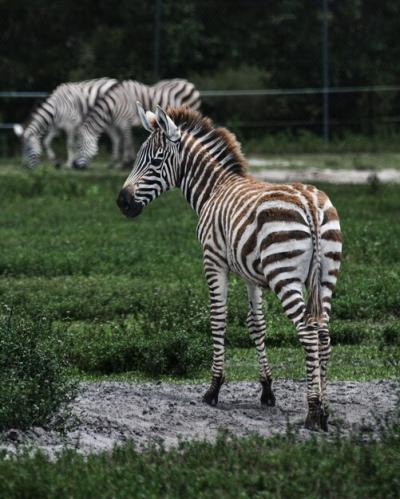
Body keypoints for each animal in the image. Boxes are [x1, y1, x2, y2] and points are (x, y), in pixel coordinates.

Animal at [72, 79, 200, 170]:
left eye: (79, 146)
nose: (75, 166)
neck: (113, 105)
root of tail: (188, 83)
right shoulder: (114, 124)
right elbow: (116, 140)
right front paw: (114, 162)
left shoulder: (124, 122)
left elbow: (127, 141)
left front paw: (126, 163)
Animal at [115, 104, 340, 430]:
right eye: (136, 158)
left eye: (156, 160)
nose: (122, 202)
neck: (213, 189)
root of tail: (310, 204)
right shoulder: (250, 275)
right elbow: (257, 324)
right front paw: (267, 390)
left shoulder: (213, 261)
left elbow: (217, 319)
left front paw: (214, 388)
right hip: (325, 277)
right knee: (323, 333)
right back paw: (324, 410)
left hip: (283, 275)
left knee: (308, 333)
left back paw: (312, 411)